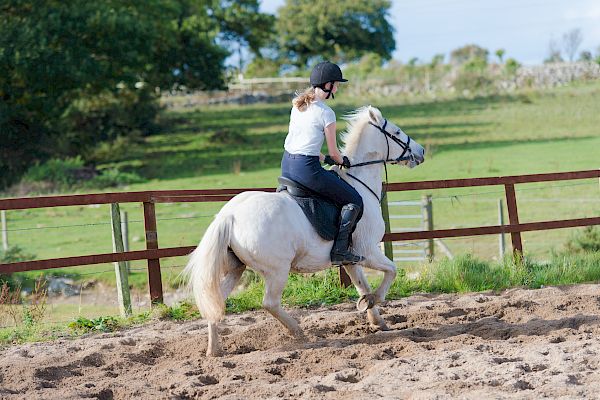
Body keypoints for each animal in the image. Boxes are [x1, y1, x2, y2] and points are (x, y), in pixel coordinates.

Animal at [185, 106, 424, 356]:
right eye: (397, 132)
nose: (421, 151)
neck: (360, 182)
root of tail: (229, 215)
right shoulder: (368, 251)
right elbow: (391, 271)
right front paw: (375, 299)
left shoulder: (351, 259)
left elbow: (362, 285)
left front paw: (376, 318)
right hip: (277, 270)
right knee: (270, 303)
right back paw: (299, 332)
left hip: (236, 268)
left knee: (216, 302)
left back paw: (214, 350)